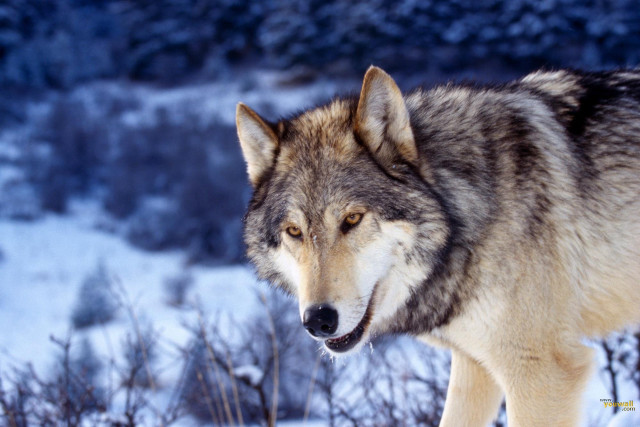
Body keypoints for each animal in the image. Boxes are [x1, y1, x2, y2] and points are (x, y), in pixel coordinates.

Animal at [236, 66, 640, 426]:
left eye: (352, 219)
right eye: (294, 231)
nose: (318, 320)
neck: (466, 213)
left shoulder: (541, 372)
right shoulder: (474, 365)